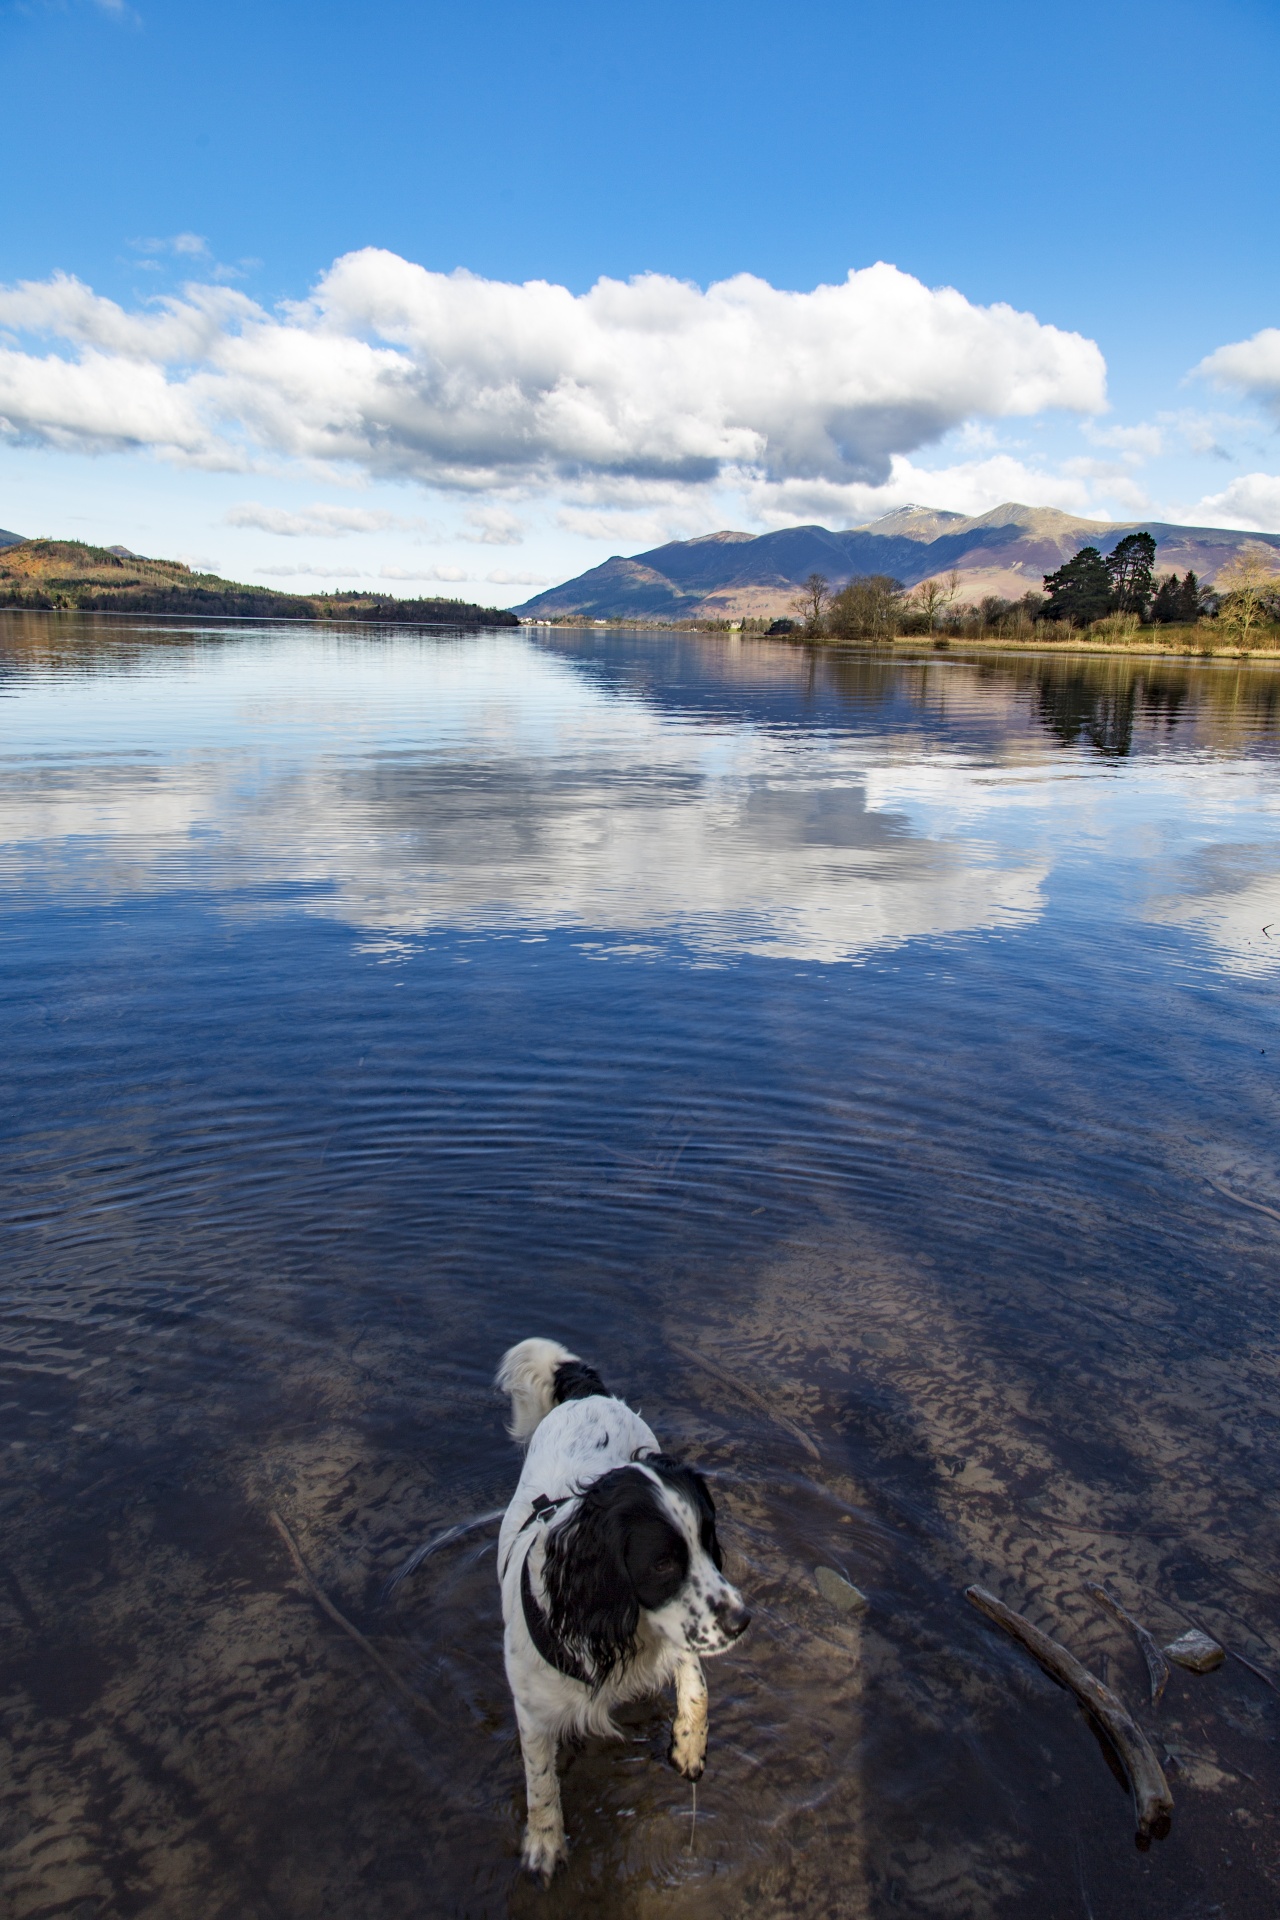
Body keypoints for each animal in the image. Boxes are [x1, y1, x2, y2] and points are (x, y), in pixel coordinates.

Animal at [495, 1336, 752, 1873]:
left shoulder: (679, 1631)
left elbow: (696, 1684)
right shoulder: (532, 1709)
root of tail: (586, 1392)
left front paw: (689, 1745)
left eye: (708, 1539)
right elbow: (540, 1780)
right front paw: (545, 1843)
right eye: (662, 1563)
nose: (743, 1621)